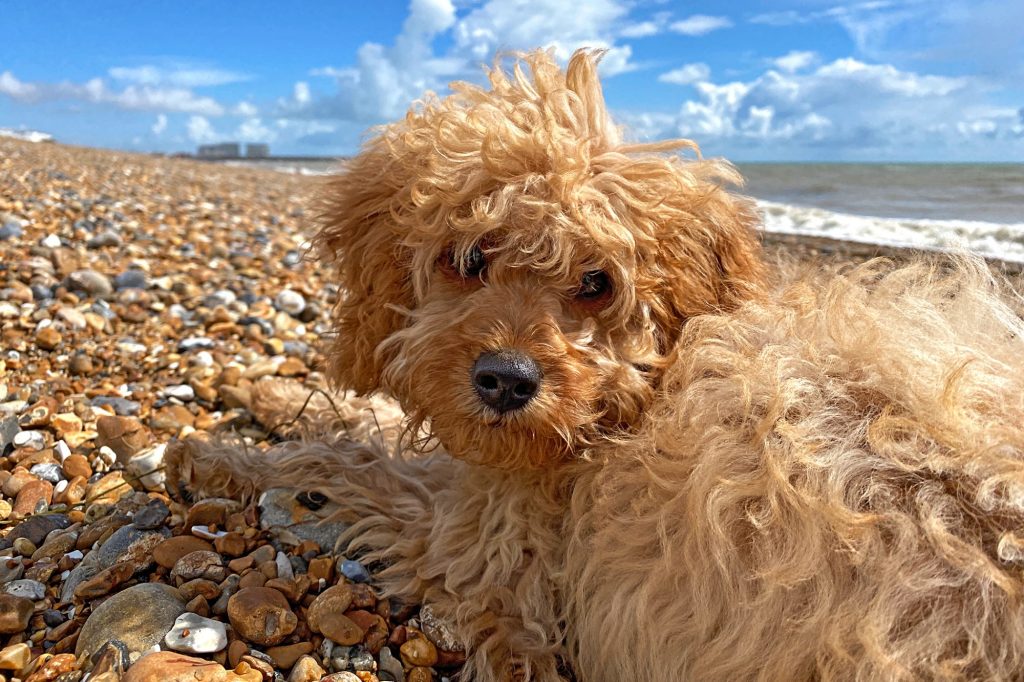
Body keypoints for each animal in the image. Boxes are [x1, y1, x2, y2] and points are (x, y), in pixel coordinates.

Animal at [172, 50, 1024, 675]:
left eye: (596, 282)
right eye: (469, 257)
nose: (505, 381)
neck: (642, 396)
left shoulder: (493, 546)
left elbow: (349, 457)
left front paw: (218, 455)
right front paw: (264, 393)